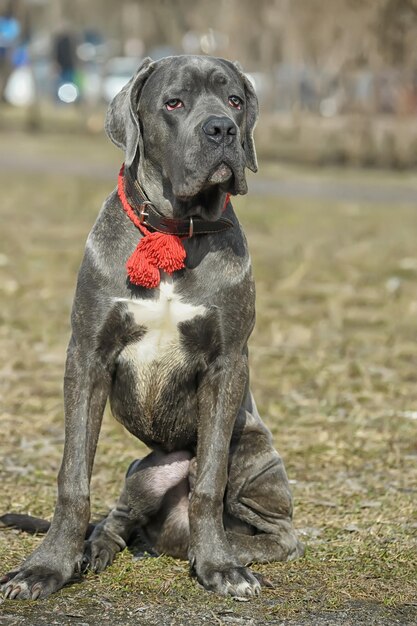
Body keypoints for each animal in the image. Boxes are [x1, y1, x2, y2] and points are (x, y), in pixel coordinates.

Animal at [0, 56, 302, 596]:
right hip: (146, 471)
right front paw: (47, 567)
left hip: (253, 458)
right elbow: (73, 477)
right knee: (115, 521)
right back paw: (94, 549)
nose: (222, 129)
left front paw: (219, 566)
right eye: (174, 102)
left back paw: (224, 550)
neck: (174, 232)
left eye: (235, 101)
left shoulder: (227, 366)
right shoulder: (88, 355)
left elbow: (208, 482)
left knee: (274, 532)